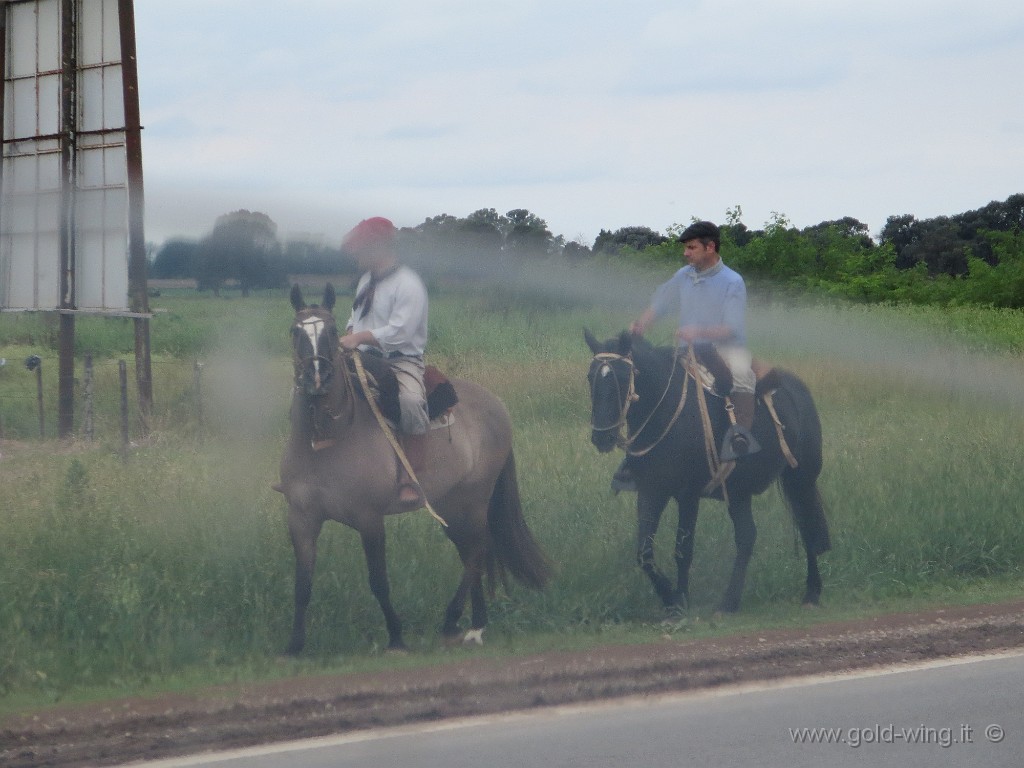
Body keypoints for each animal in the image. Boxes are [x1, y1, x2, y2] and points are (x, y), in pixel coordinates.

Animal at [278, 284, 552, 655]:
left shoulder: (369, 518)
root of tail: (495, 404)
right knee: (471, 552)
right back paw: (472, 624)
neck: (326, 440)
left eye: (332, 332)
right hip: (450, 505)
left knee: (477, 551)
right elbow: (302, 583)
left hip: (474, 498)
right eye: (296, 332)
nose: (317, 377)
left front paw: (396, 637)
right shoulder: (301, 519)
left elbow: (378, 581)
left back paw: (458, 622)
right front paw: (294, 646)